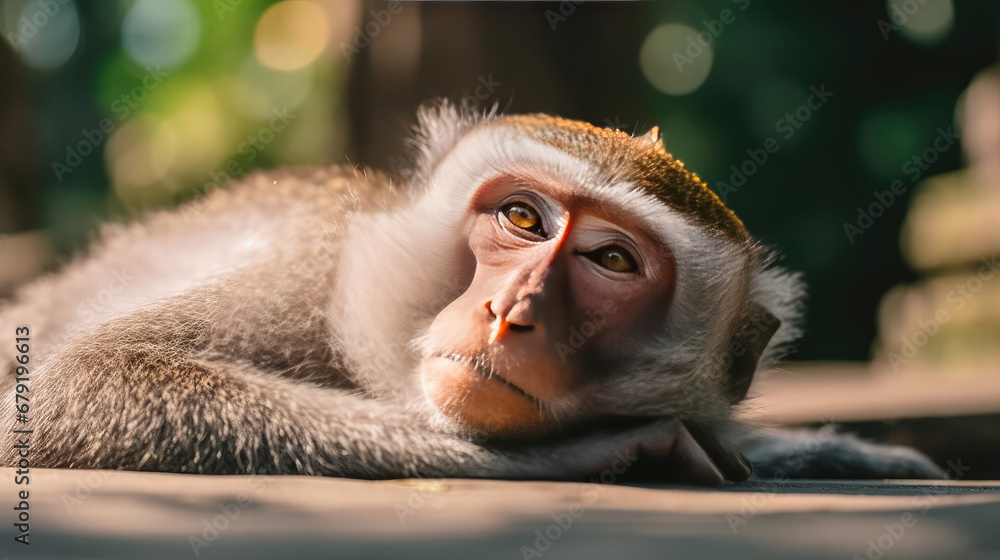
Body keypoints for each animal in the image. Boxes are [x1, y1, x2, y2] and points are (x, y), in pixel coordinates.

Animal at [0, 103, 940, 484]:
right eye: (522, 217)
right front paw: (559, 455)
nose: (510, 310)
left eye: (612, 261)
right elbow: (82, 379)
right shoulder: (309, 271)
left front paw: (843, 455)